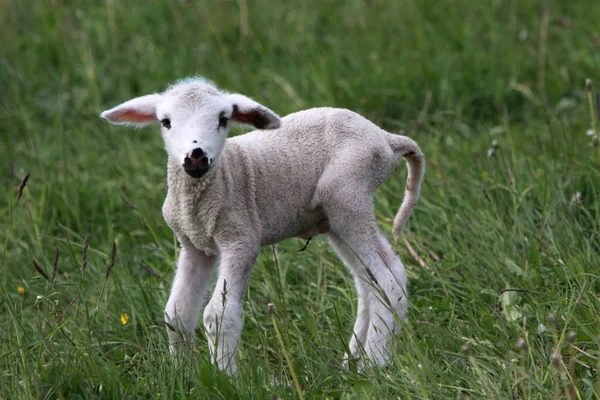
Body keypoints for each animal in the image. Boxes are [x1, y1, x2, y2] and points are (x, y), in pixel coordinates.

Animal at [101, 78, 424, 376]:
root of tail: (385, 138)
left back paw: (375, 362)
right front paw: (183, 374)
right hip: (333, 216)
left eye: (223, 119)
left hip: (348, 191)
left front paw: (226, 377)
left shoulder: (240, 238)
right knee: (370, 280)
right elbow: (176, 314)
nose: (196, 156)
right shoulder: (194, 246)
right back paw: (352, 360)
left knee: (387, 278)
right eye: (165, 122)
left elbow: (218, 314)